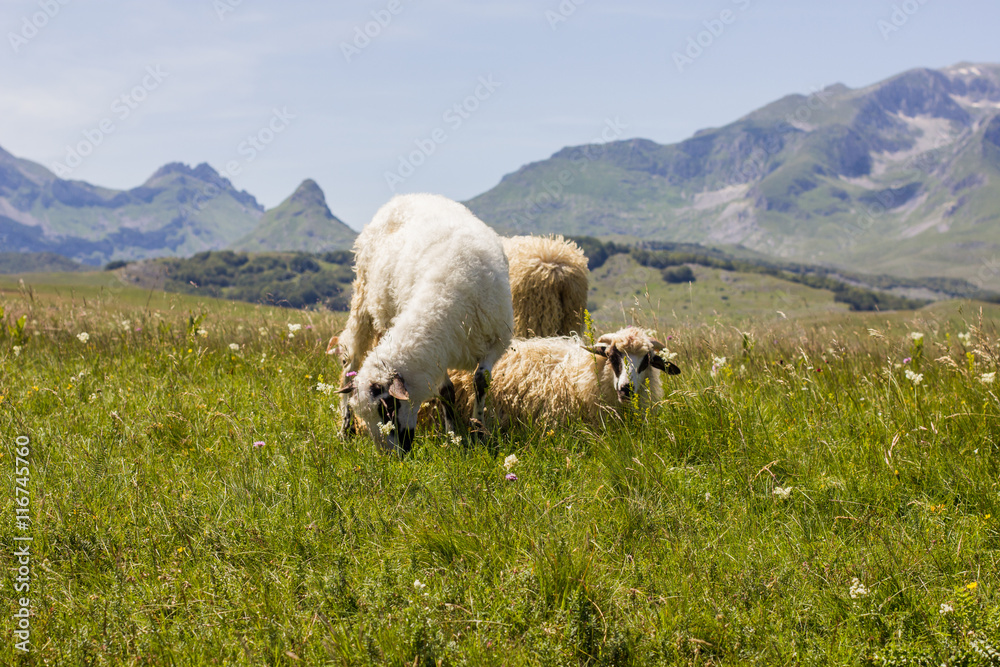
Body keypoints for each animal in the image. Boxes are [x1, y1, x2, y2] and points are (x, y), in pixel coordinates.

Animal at [336, 193, 514, 453]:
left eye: (388, 408)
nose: (392, 457)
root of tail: (402, 197)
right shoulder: (438, 351)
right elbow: (446, 391)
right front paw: (452, 434)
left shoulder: (495, 341)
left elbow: (480, 381)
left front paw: (478, 431)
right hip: (363, 295)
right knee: (350, 362)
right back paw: (345, 427)